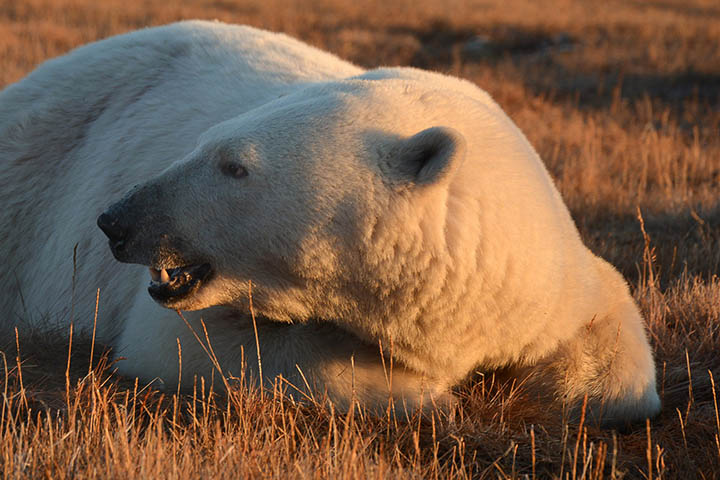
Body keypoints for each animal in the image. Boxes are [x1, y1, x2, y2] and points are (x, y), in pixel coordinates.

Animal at [0, 19, 660, 424]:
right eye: (200, 143)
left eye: (232, 165)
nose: (117, 221)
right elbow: (189, 345)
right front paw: (424, 393)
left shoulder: (541, 274)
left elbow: (617, 358)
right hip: (31, 177)